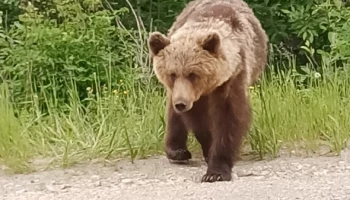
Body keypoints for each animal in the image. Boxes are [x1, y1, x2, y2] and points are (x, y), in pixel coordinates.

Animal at [148, 0, 268, 183]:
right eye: (172, 74)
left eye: (193, 74)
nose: (181, 103)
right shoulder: (192, 96)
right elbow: (199, 120)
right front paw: (207, 147)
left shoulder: (232, 77)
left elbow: (228, 118)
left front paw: (215, 172)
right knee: (173, 113)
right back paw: (177, 151)